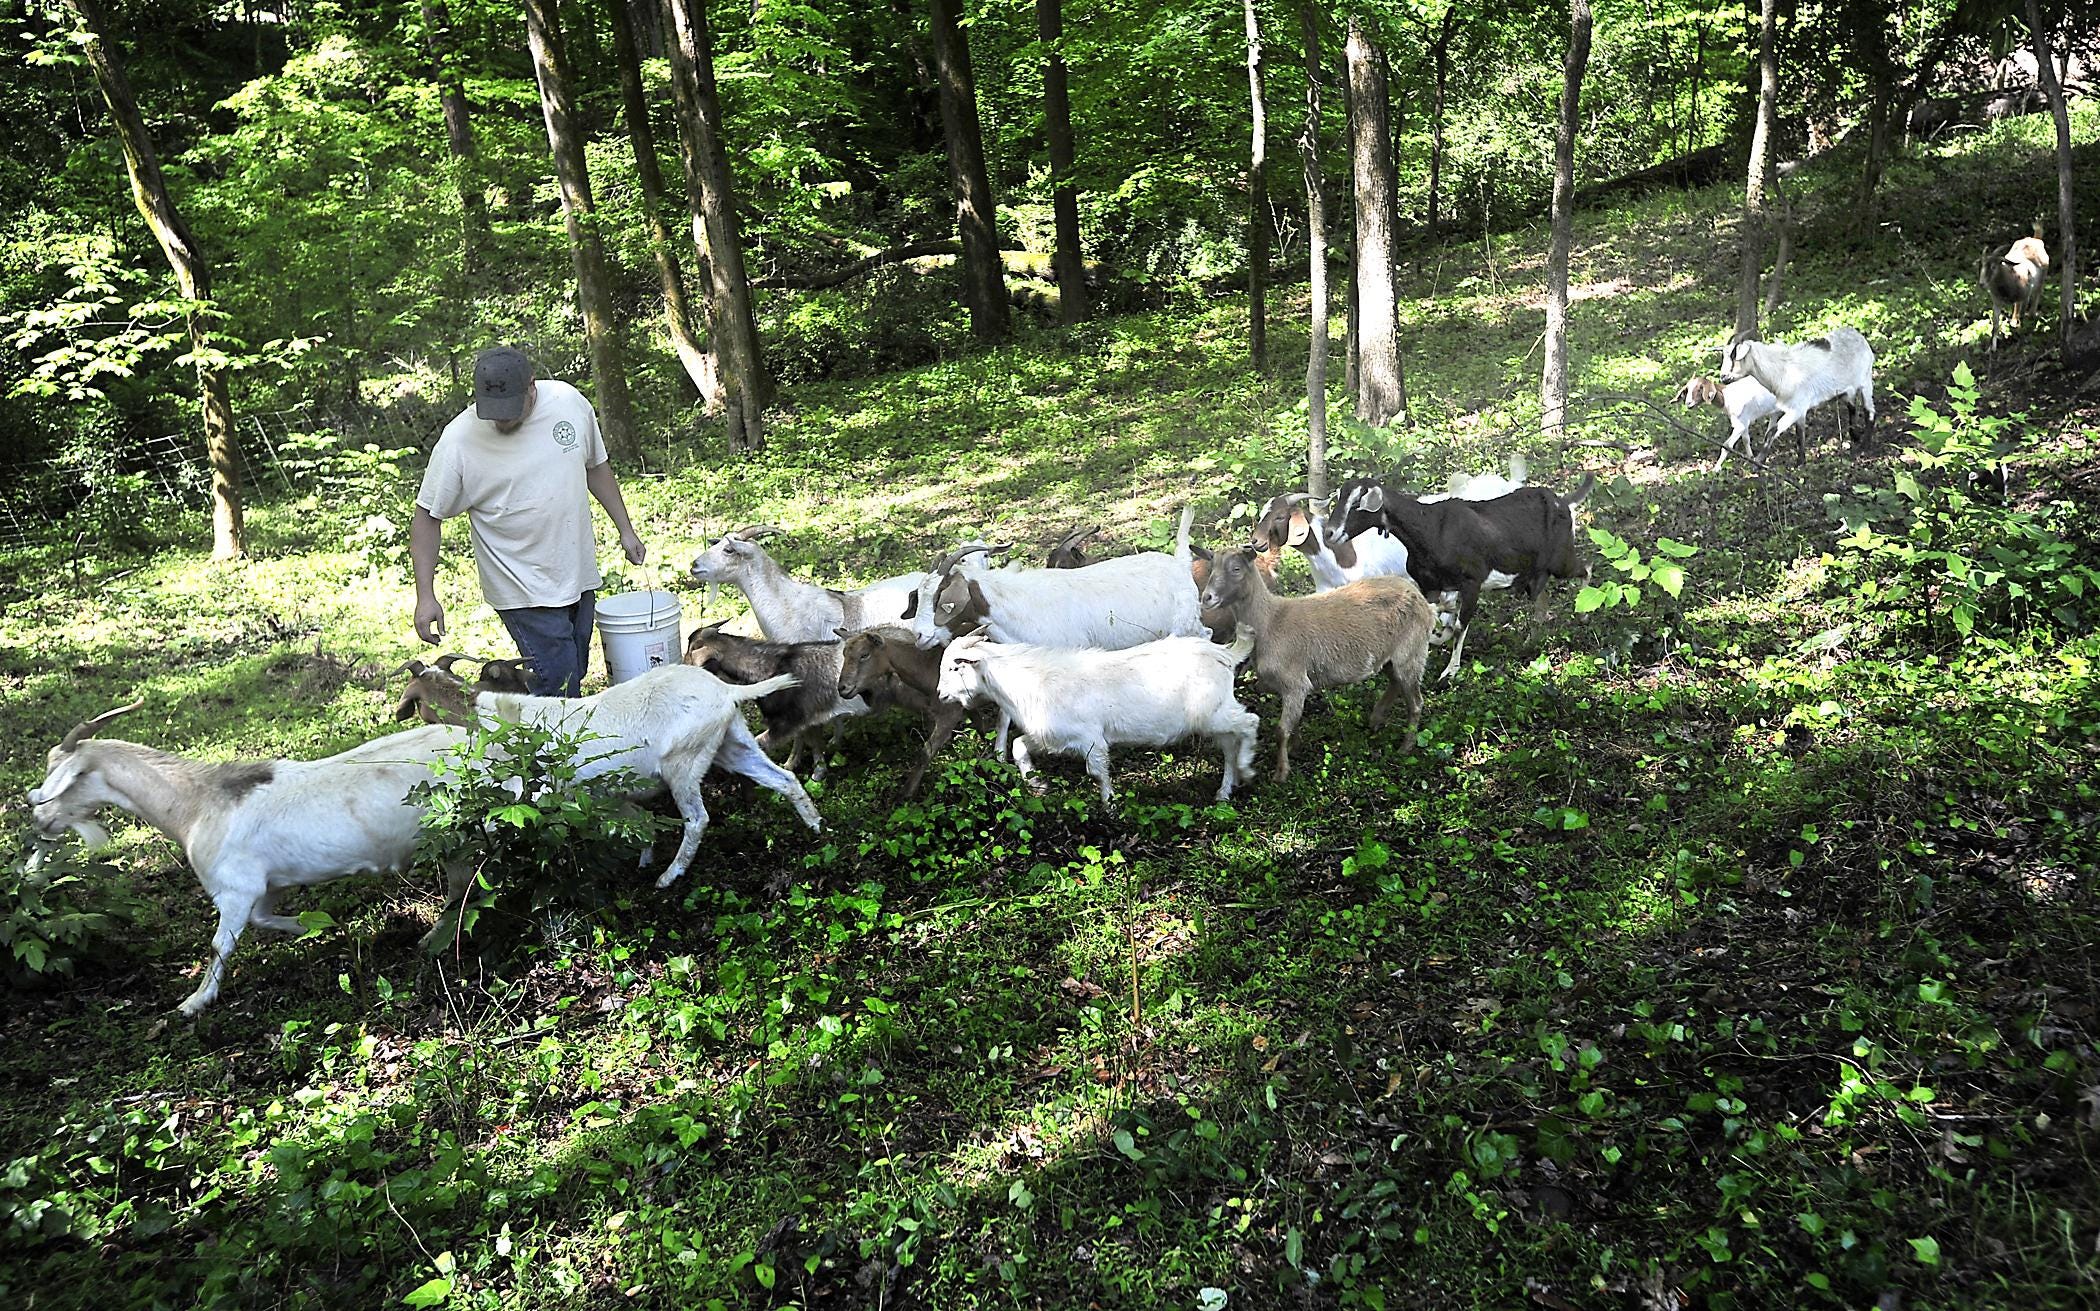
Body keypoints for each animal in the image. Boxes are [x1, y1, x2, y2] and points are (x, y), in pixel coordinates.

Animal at [898, 504, 1201, 651]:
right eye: (918, 598)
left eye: (943, 601)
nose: (919, 636)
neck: (1009, 605)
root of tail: (1179, 563)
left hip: (1186, 626)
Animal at [1201, 550, 1444, 777]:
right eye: (1211, 567)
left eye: (1236, 569)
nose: (1206, 597)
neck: (1270, 621)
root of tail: (1424, 601)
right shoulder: (1291, 688)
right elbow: (1294, 722)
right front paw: (1296, 748)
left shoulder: (1295, 683)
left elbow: (1281, 730)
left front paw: (1281, 773)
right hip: (1392, 657)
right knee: (1395, 683)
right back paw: (1375, 720)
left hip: (1412, 651)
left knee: (1415, 701)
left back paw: (1406, 747)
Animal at [1327, 472, 1587, 676]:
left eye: (1357, 503)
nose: (1329, 533)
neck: (1431, 529)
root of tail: (1562, 502)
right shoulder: (1430, 586)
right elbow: (1436, 619)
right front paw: (1440, 633)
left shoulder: (1472, 583)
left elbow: (1461, 625)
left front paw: (1450, 670)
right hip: (1534, 574)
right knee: (1541, 596)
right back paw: (1533, 638)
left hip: (1561, 560)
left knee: (1586, 568)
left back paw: (1583, 615)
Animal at [1713, 327, 1881, 455]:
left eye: (1734, 355)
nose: (1723, 377)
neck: (1782, 370)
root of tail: (1859, 336)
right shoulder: (1799, 410)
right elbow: (1800, 435)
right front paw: (1801, 463)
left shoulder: (1796, 407)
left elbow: (1772, 432)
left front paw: (1759, 463)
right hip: (1847, 389)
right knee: (1852, 408)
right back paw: (1856, 437)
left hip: (1865, 379)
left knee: (1870, 411)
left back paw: (1864, 446)